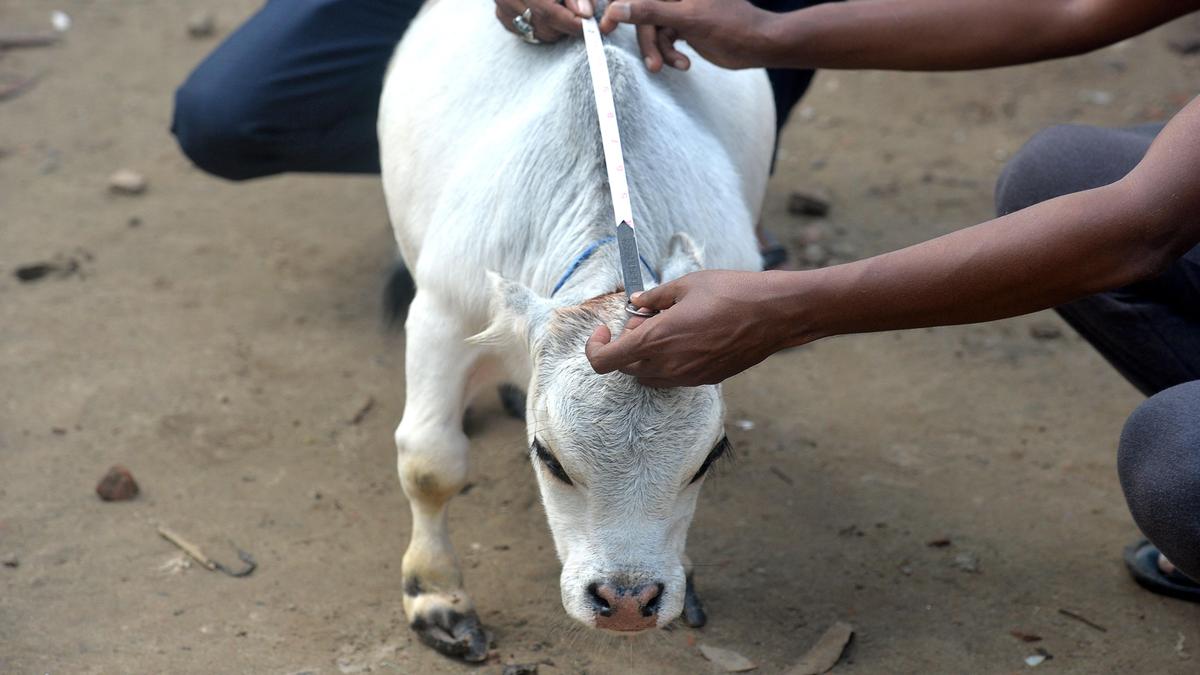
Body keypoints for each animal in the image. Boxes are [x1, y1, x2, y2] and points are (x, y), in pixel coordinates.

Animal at [376, 0, 777, 662]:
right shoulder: (442, 314)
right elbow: (430, 465)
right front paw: (436, 596)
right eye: (549, 458)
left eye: (710, 458)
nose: (628, 602)